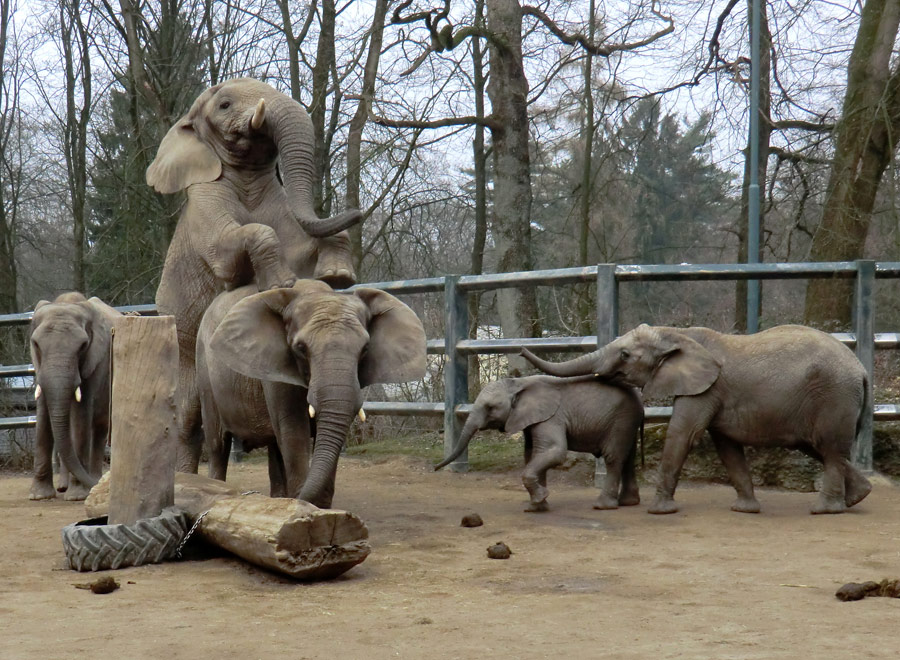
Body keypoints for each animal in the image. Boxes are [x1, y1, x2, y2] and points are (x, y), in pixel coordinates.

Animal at [28, 292, 120, 500]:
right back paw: (65, 486)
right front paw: (39, 496)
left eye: (83, 346)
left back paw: (92, 481)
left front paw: (77, 495)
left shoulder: (95, 362)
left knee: (99, 429)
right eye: (36, 344)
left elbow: (81, 415)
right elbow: (43, 416)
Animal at [146, 78, 364, 474]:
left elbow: (301, 247)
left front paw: (337, 275)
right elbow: (233, 248)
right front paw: (281, 284)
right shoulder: (204, 202)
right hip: (185, 343)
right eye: (224, 105)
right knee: (189, 417)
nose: (359, 210)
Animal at [434, 376, 640, 510]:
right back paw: (628, 503)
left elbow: (554, 451)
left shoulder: (550, 417)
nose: (434, 468)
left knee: (613, 457)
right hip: (627, 422)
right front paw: (538, 506)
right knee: (628, 458)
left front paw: (539, 500)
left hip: (620, 419)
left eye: (490, 407)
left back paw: (602, 506)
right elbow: (533, 454)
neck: (519, 382)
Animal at [520, 324, 872, 516]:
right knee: (821, 449)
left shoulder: (706, 387)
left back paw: (825, 509)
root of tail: (862, 369)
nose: (522, 349)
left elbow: (682, 433)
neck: (678, 335)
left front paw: (659, 511)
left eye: (625, 355)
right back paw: (858, 497)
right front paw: (744, 510)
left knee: (829, 449)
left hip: (834, 396)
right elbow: (726, 446)